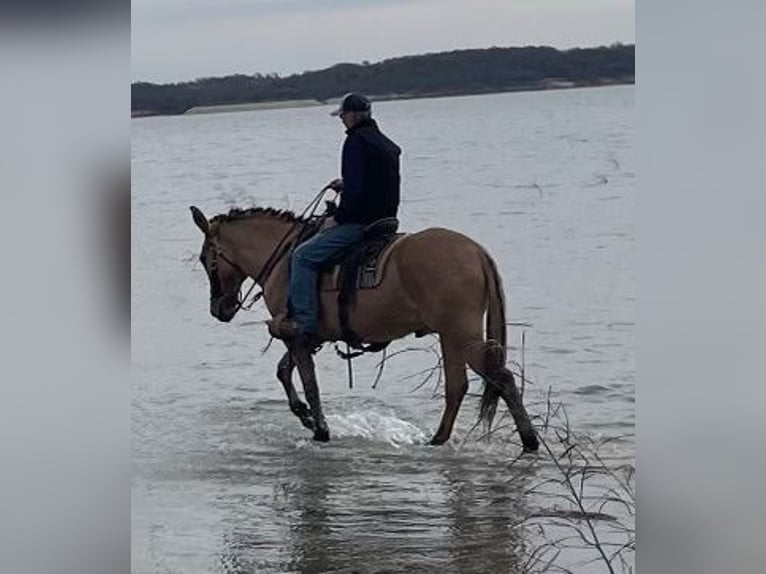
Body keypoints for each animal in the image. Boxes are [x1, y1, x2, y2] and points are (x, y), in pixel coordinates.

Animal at [191, 205, 540, 452]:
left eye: (206, 258)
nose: (219, 309)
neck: (284, 259)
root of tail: (477, 252)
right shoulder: (307, 336)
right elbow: (284, 371)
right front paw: (304, 414)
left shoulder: (297, 335)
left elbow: (308, 382)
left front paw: (320, 429)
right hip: (451, 336)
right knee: (459, 386)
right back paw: (441, 440)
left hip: (460, 335)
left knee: (499, 378)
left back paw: (528, 441)